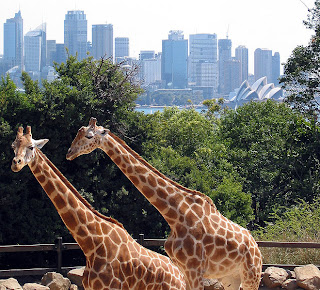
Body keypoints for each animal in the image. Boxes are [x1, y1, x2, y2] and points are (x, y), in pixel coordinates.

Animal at [67, 117, 262, 290]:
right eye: (78, 132)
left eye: (89, 136)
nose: (69, 152)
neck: (175, 215)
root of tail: (256, 247)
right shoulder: (184, 270)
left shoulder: (194, 269)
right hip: (230, 278)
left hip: (251, 275)